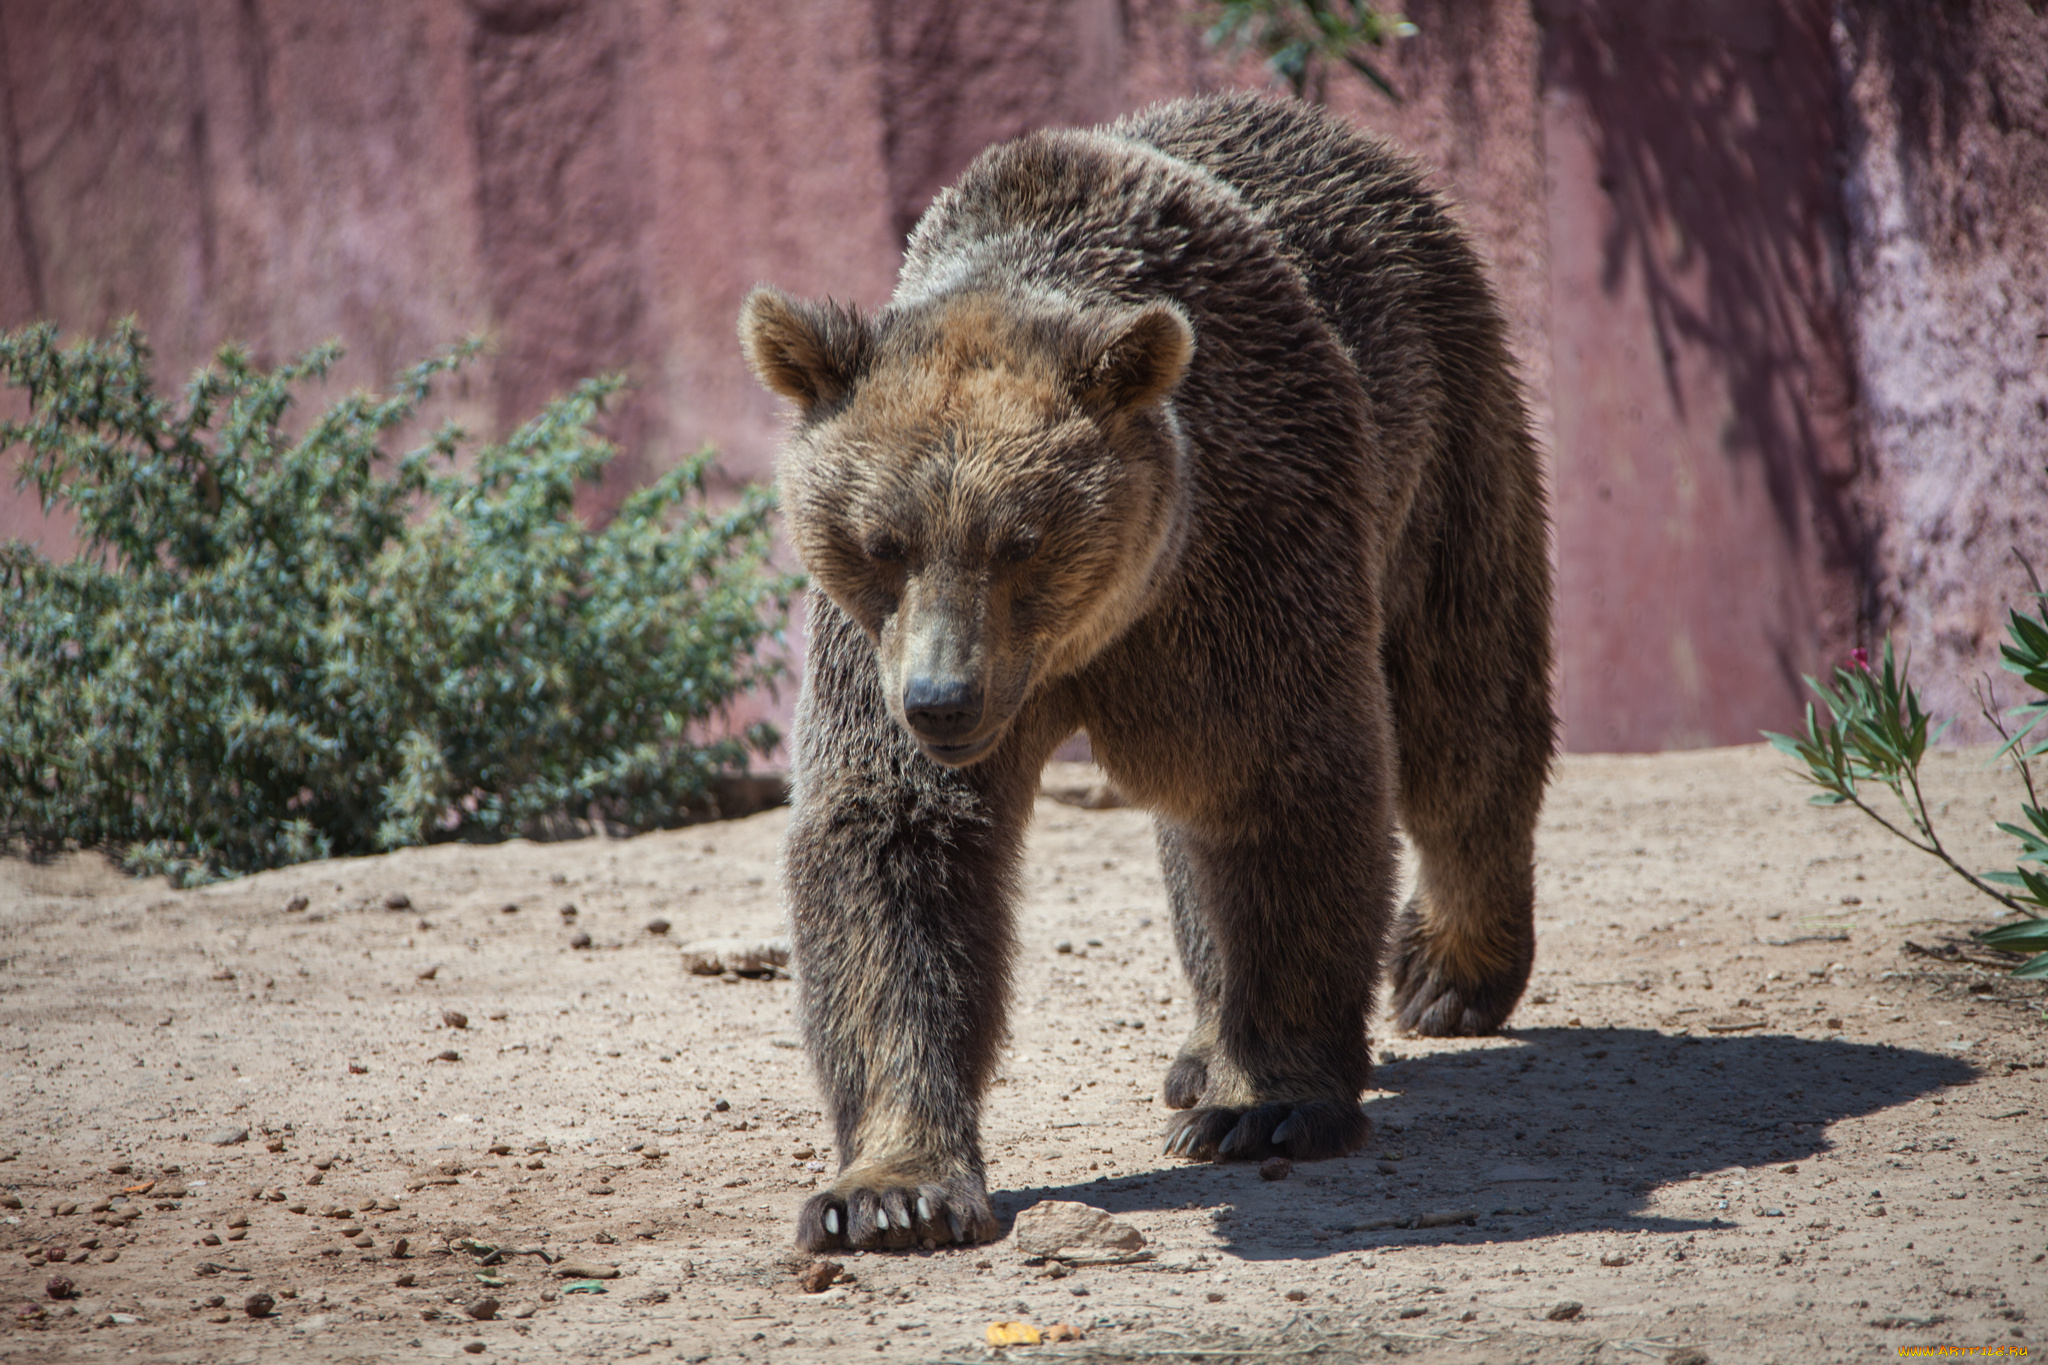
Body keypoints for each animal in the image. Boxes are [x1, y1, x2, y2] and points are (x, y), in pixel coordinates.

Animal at [737, 90, 1548, 1252]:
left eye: (1021, 539)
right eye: (882, 539)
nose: (941, 700)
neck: (1086, 636)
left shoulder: (1243, 554)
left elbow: (1280, 792)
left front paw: (1271, 1102)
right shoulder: (874, 648)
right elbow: (892, 850)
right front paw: (891, 1189)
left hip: (1438, 434)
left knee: (1461, 704)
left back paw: (1449, 970)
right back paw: (1201, 1048)